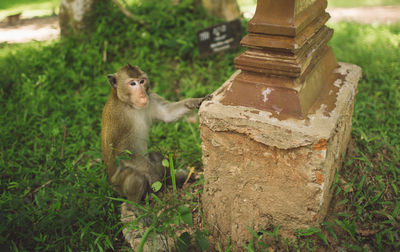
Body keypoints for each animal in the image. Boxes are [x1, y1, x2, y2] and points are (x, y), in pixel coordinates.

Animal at [101, 63, 209, 205]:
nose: (142, 95)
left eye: (142, 81)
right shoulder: (120, 118)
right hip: (118, 186)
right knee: (136, 177)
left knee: (157, 157)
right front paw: (153, 177)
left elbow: (168, 114)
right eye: (132, 83)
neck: (129, 105)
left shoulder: (151, 97)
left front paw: (195, 101)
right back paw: (135, 206)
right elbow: (122, 152)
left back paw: (172, 179)